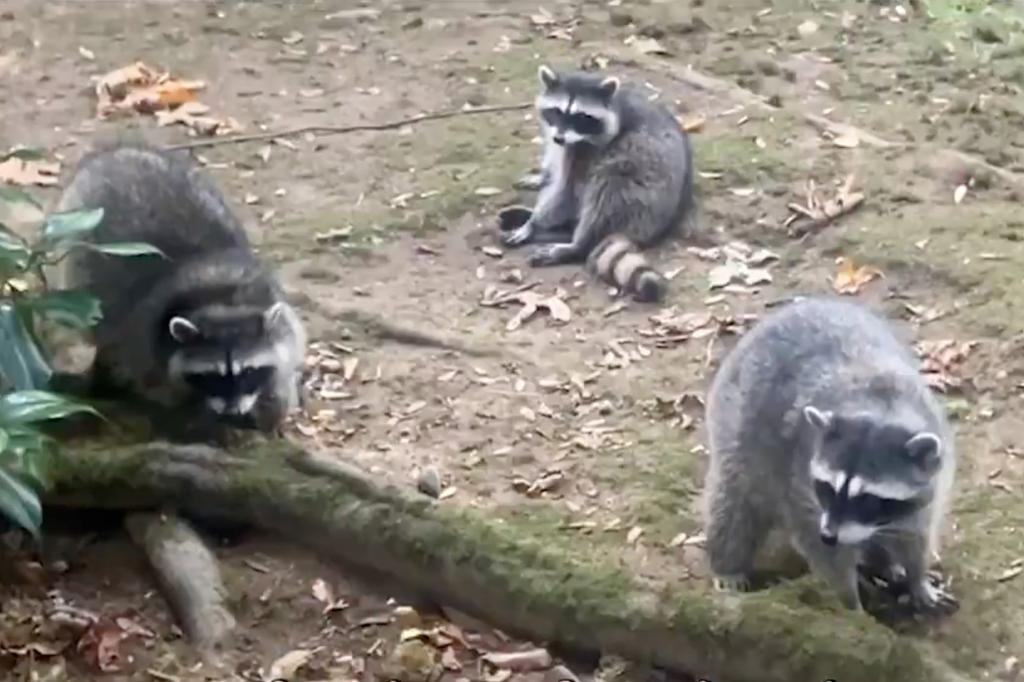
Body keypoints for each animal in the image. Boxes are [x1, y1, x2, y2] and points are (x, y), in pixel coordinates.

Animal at [51, 140, 305, 432]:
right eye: (212, 376)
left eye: (249, 372)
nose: (232, 412)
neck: (223, 302)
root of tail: (113, 152)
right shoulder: (144, 338)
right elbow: (155, 383)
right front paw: (194, 412)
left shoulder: (278, 310)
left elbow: (285, 362)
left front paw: (273, 403)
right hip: (74, 247)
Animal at [497, 64, 696, 303]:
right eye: (557, 111)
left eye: (580, 117)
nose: (559, 138)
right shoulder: (560, 142)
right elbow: (554, 173)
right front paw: (539, 183)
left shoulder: (588, 151)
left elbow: (566, 191)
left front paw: (533, 224)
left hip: (642, 188)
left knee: (605, 190)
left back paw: (575, 244)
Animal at [700, 296, 954, 610]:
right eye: (827, 488)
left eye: (868, 499)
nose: (830, 535)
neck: (881, 408)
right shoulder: (800, 485)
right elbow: (824, 554)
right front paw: (850, 605)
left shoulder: (933, 477)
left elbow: (916, 534)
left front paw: (917, 578)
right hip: (733, 425)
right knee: (732, 504)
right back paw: (728, 564)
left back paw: (883, 562)